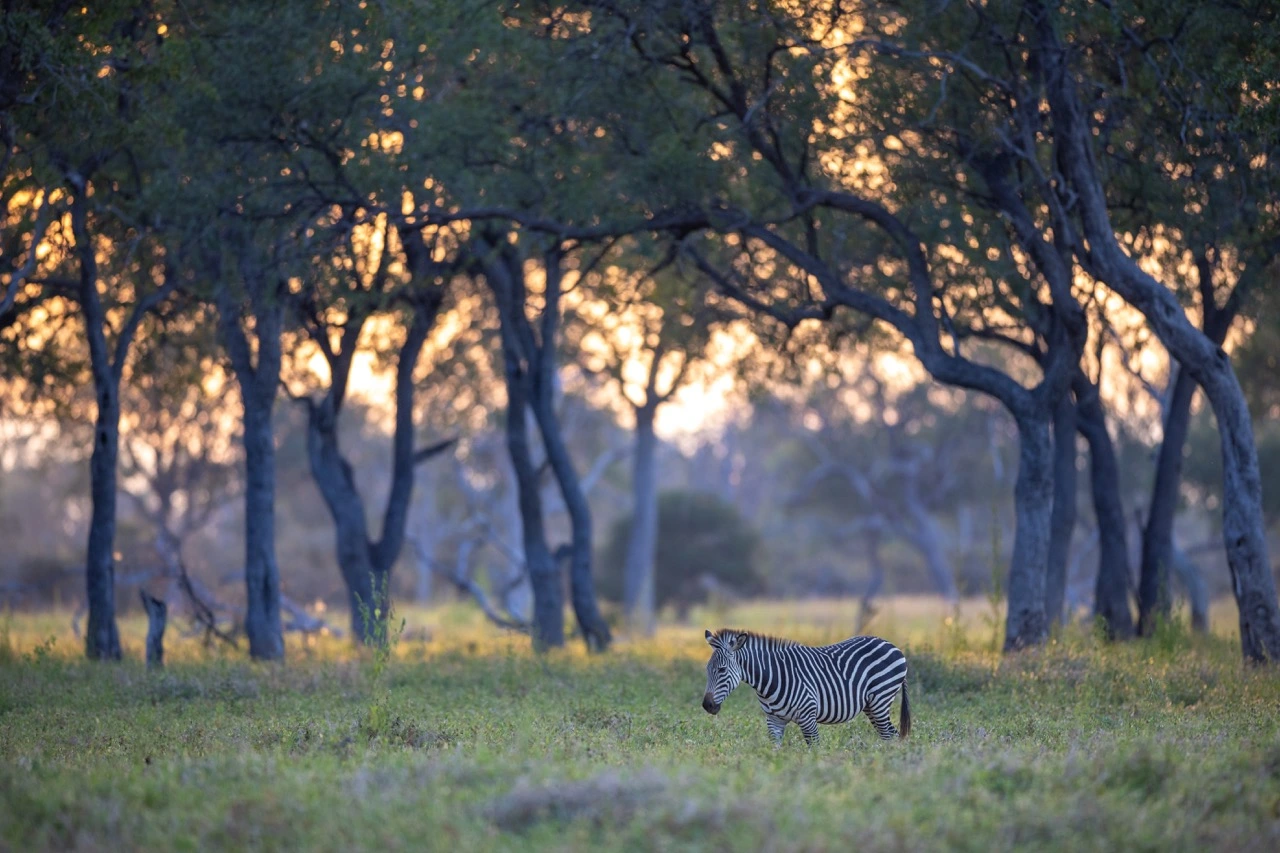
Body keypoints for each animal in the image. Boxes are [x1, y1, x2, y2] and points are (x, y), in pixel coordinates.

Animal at [701, 625, 911, 742]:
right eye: (707, 670)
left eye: (722, 670)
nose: (707, 706)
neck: (772, 678)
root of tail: (892, 645)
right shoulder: (774, 720)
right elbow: (774, 753)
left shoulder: (808, 717)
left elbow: (814, 750)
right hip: (871, 706)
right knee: (889, 736)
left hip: (880, 700)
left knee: (890, 736)